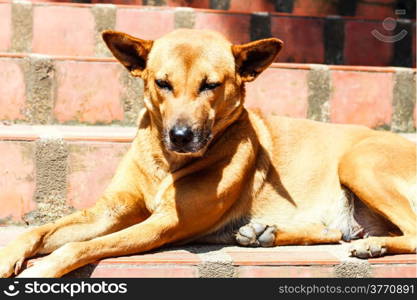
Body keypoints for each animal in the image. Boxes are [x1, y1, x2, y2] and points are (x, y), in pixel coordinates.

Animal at [0, 29, 416, 278]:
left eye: (210, 85)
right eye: (162, 83)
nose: (181, 136)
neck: (164, 162)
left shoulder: (166, 223)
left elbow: (82, 245)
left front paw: (40, 271)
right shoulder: (110, 211)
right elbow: (38, 231)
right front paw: (9, 255)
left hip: (359, 163)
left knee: (408, 232)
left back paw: (372, 245)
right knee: (335, 233)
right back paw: (266, 234)